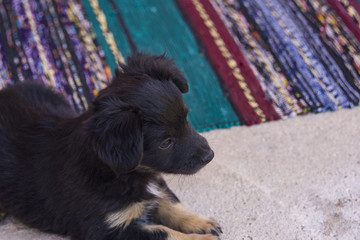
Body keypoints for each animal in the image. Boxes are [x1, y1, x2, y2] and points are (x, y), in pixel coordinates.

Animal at [0, 53, 221, 239]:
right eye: (166, 143)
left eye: (186, 119)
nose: (210, 155)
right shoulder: (107, 229)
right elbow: (163, 232)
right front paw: (203, 238)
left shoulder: (155, 185)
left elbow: (170, 202)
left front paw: (201, 222)